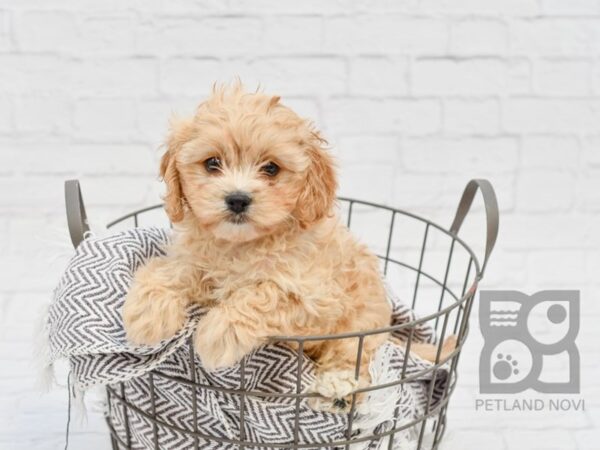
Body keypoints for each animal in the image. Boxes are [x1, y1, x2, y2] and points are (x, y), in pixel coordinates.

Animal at [123, 84, 450, 412]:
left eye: (271, 168)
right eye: (212, 163)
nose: (237, 199)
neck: (241, 245)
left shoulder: (313, 297)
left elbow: (264, 293)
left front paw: (219, 332)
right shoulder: (194, 259)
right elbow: (170, 270)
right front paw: (147, 314)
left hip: (363, 325)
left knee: (355, 355)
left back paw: (339, 388)